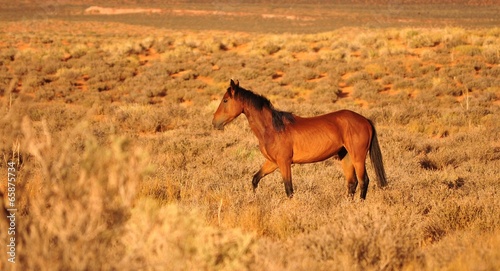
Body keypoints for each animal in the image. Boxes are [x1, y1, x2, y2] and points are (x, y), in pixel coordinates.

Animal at [211, 79, 386, 201]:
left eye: (225, 100)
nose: (214, 123)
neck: (273, 127)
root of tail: (365, 120)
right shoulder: (272, 162)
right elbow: (255, 179)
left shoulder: (284, 163)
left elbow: (289, 190)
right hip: (346, 156)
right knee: (352, 183)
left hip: (358, 157)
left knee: (364, 181)